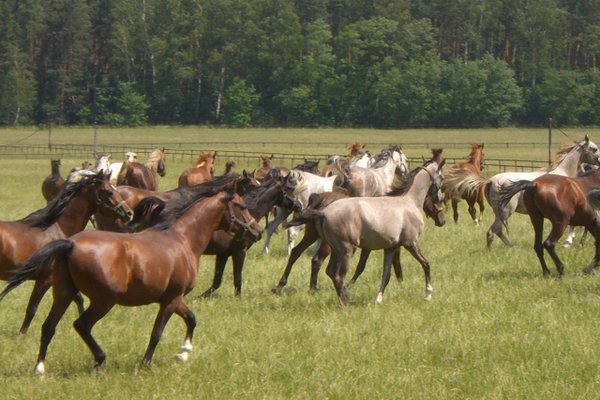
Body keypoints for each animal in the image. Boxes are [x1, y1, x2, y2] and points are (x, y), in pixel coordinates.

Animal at [0, 170, 134, 334]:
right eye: (109, 191)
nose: (129, 213)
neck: (57, 227)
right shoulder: (45, 280)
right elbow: (32, 308)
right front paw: (22, 334)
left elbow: (78, 299)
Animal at [290, 155, 446, 304]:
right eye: (442, 177)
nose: (442, 218)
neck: (409, 202)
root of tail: (324, 211)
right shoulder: (411, 243)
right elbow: (426, 264)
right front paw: (428, 294)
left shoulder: (390, 247)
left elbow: (386, 274)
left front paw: (378, 299)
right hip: (346, 250)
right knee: (337, 275)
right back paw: (344, 303)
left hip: (333, 248)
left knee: (325, 269)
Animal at [458, 138, 596, 250]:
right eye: (594, 149)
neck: (563, 175)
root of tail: (490, 181)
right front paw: (569, 242)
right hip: (506, 212)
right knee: (492, 231)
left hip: (499, 213)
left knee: (498, 231)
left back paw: (511, 246)